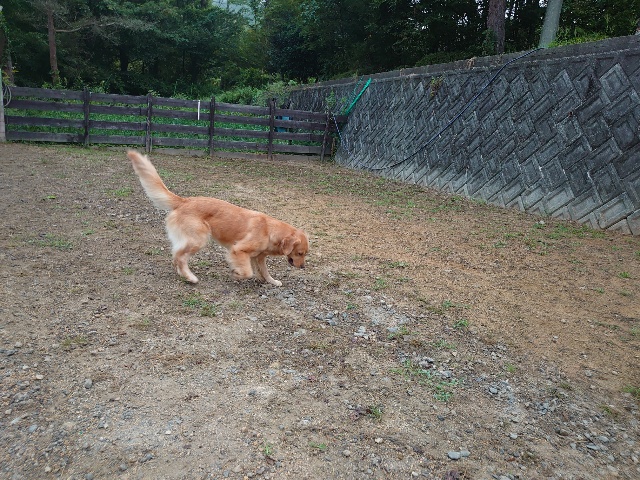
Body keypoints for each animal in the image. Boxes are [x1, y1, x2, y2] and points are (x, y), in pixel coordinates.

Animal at [127, 150, 308, 287]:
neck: (269, 230)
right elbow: (247, 272)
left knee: (176, 255)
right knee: (179, 256)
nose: (303, 267)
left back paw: (184, 275)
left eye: (305, 254)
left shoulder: (259, 257)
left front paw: (272, 281)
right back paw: (190, 277)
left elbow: (263, 271)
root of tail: (184, 201)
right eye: (300, 253)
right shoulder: (238, 250)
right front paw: (237, 274)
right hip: (199, 238)